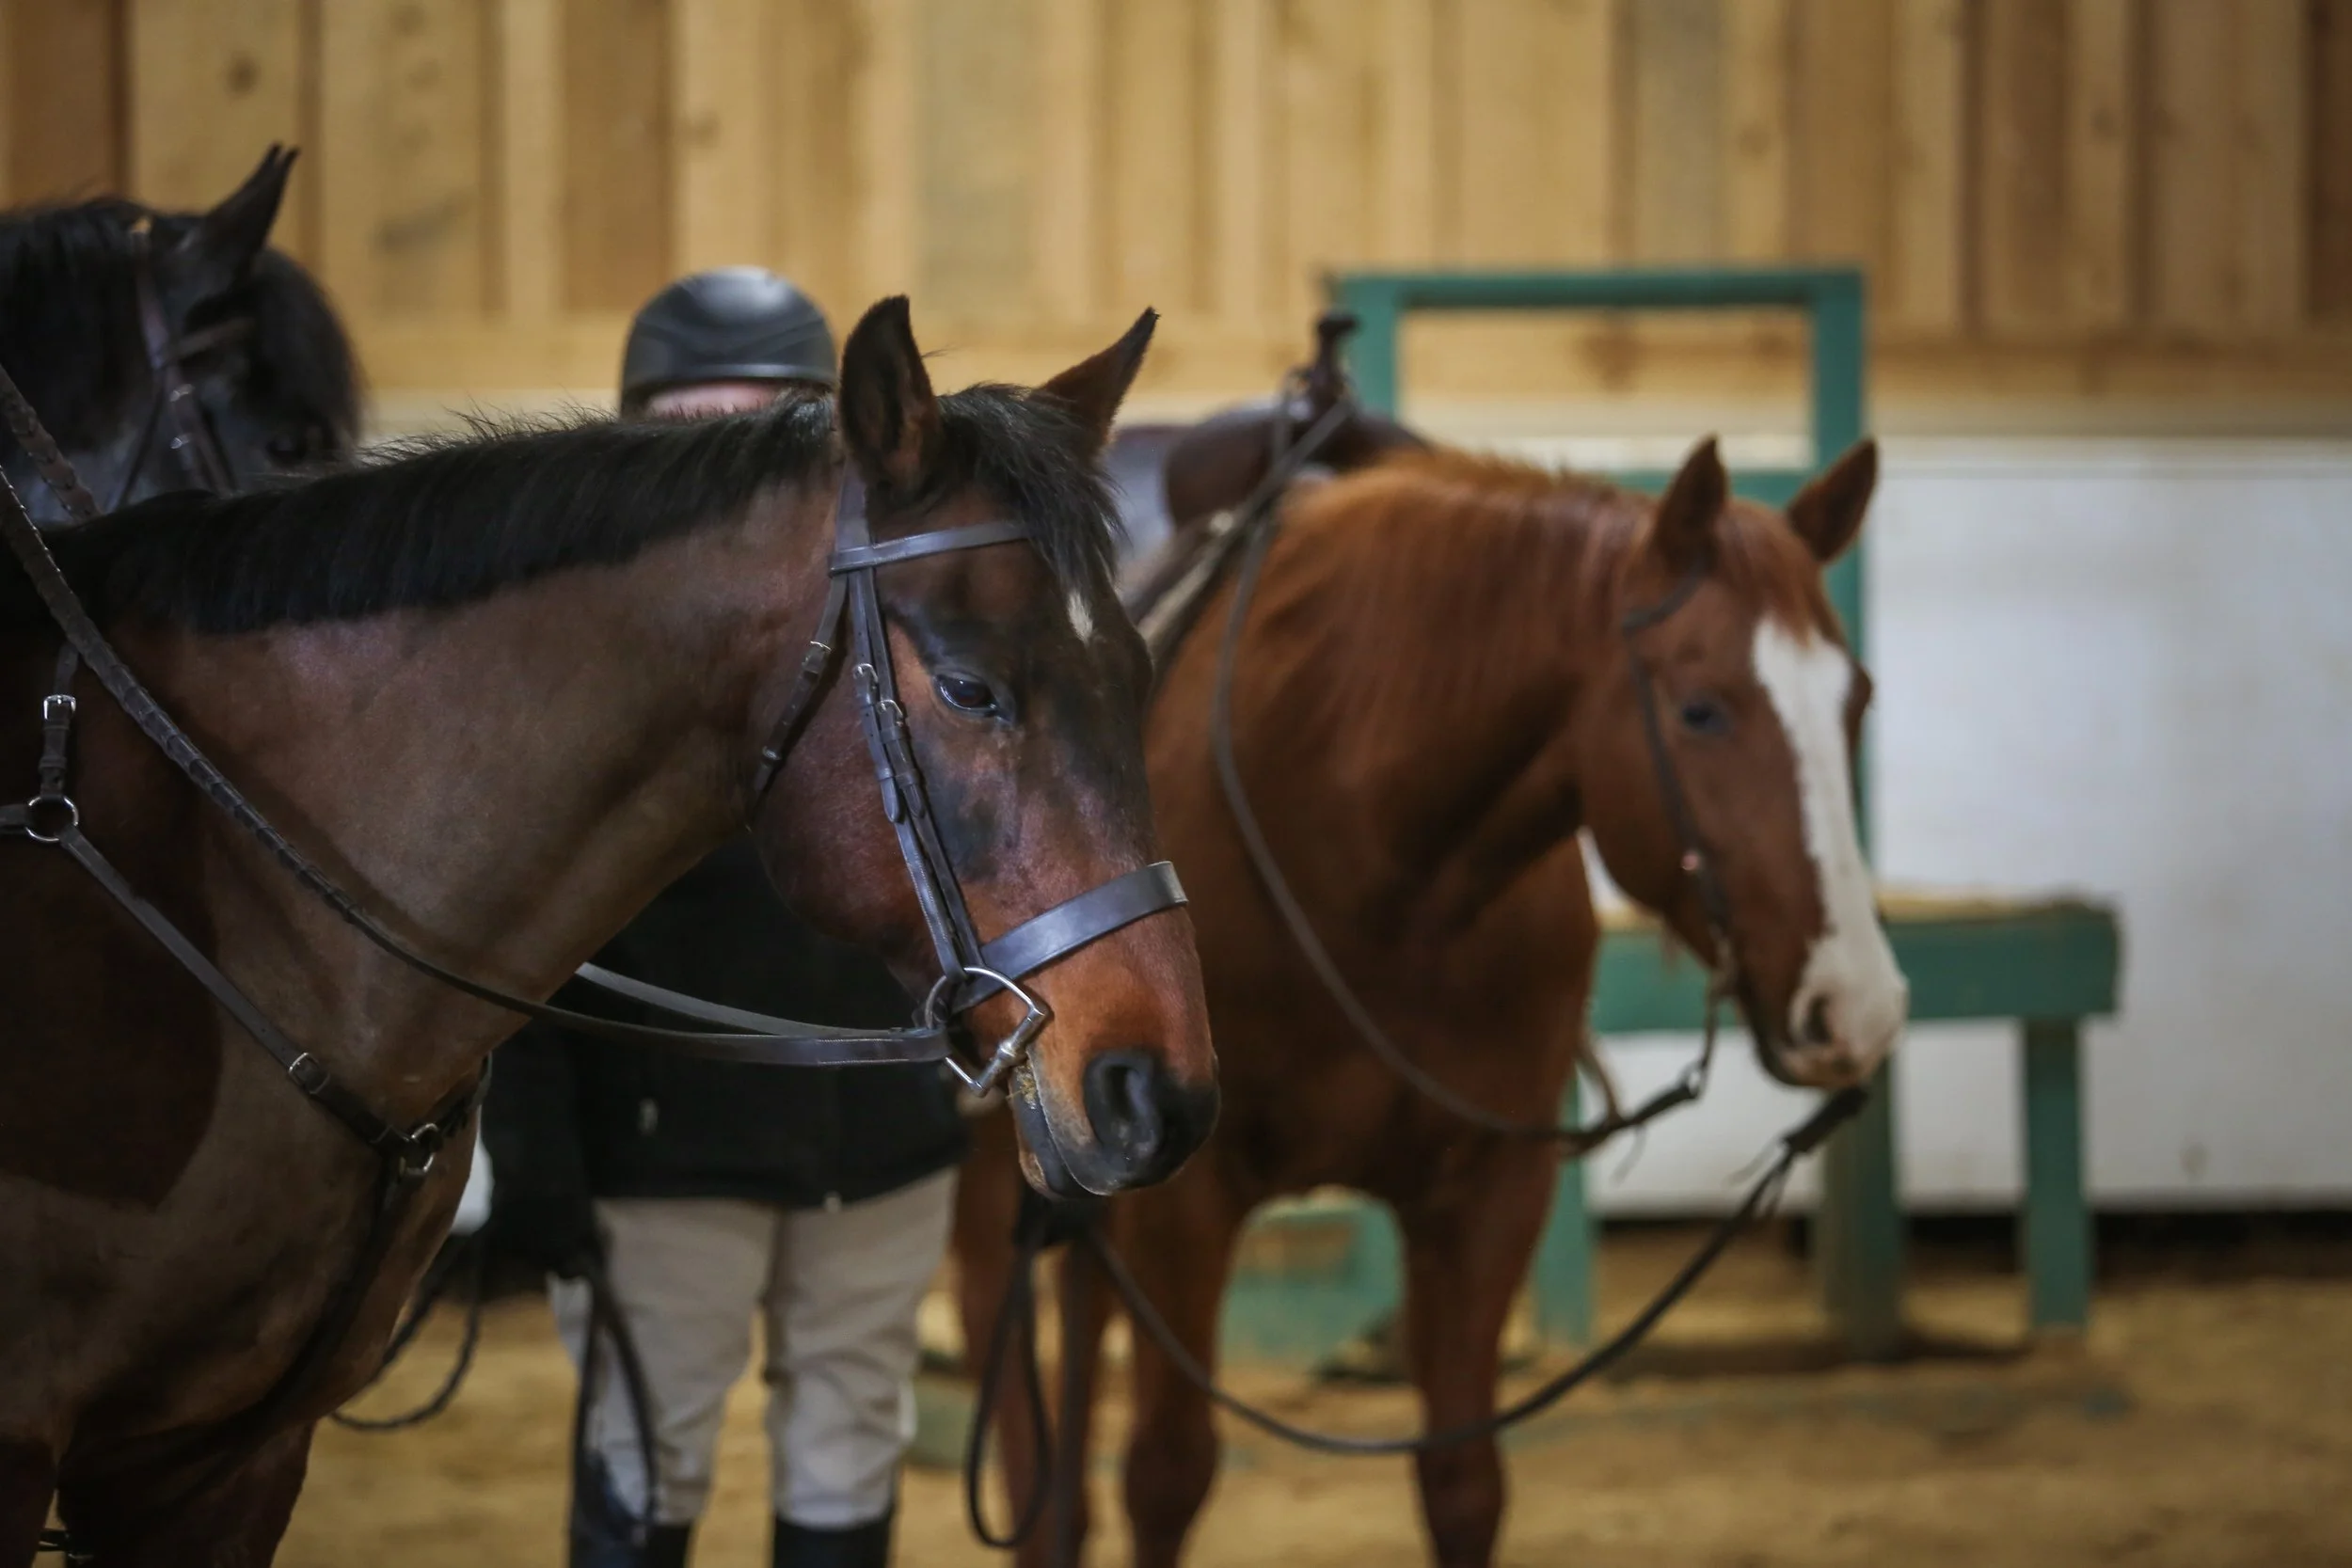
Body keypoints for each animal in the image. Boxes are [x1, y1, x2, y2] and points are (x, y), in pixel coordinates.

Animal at [956, 431, 1907, 1568]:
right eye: (1700, 708)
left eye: (1855, 700)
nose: (1856, 1002)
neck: (1370, 859)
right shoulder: (1187, 1199)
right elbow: (1167, 1473)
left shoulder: (1488, 1192)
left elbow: (1464, 1484)